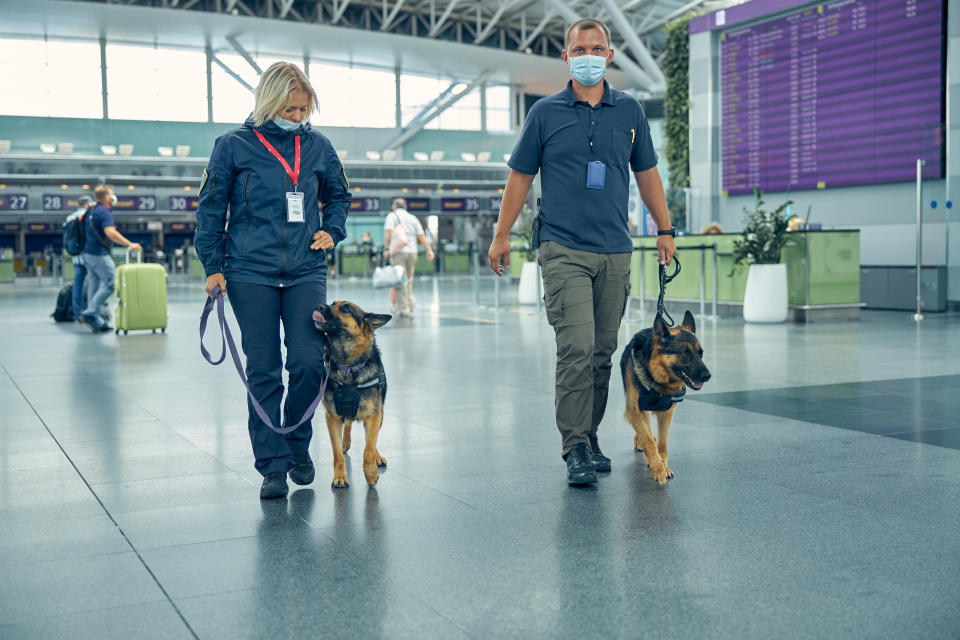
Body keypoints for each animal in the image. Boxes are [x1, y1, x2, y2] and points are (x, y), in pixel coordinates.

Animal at [314, 302, 392, 488]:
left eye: (346, 309)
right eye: (332, 303)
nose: (319, 306)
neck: (348, 367)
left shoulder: (374, 416)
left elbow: (369, 448)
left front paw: (371, 472)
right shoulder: (332, 418)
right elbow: (337, 454)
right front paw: (339, 477)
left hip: (380, 415)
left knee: (371, 439)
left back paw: (377, 457)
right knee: (348, 424)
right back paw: (346, 442)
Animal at [624, 312, 712, 484]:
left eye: (701, 353)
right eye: (685, 352)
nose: (707, 376)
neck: (658, 380)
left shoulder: (666, 413)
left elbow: (662, 444)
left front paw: (663, 466)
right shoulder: (635, 411)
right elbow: (648, 441)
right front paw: (658, 469)